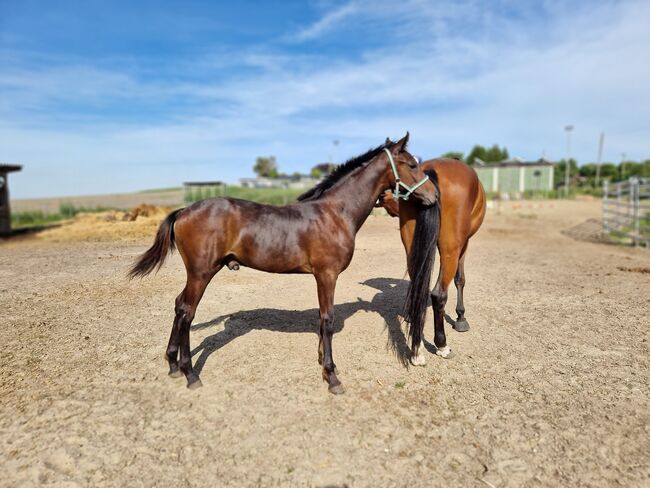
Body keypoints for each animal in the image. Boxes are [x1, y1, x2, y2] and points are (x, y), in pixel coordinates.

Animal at [129, 132, 438, 392]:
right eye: (412, 164)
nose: (434, 196)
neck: (335, 213)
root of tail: (183, 211)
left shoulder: (321, 277)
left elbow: (321, 318)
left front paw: (322, 363)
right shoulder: (327, 274)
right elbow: (327, 319)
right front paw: (332, 376)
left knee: (179, 306)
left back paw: (172, 365)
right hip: (201, 273)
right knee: (186, 311)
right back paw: (189, 373)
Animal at [378, 158, 484, 364]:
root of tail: (430, 169)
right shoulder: (464, 243)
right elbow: (460, 279)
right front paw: (461, 317)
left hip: (411, 240)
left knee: (419, 284)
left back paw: (416, 345)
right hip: (451, 248)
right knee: (438, 294)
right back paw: (441, 344)